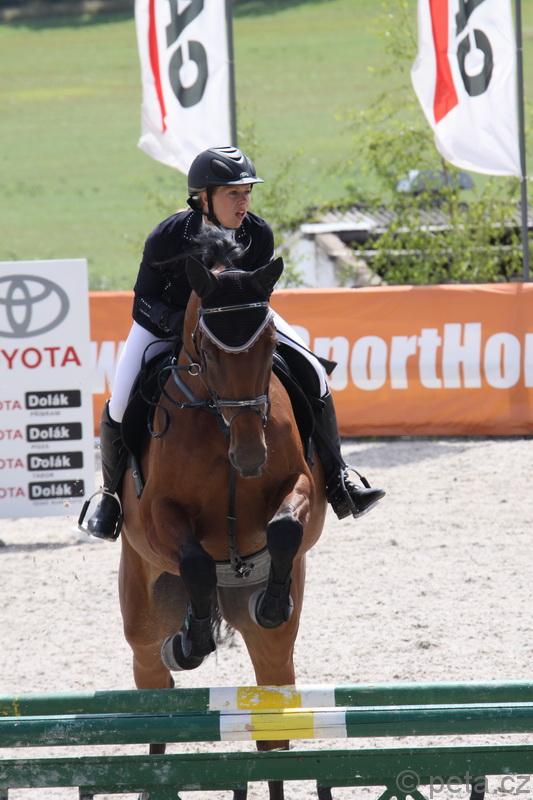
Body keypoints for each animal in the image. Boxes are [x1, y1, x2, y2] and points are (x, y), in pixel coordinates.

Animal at [119, 229, 328, 800]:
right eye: (208, 352)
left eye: (271, 343)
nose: (250, 457)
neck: (221, 424)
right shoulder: (158, 515)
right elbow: (193, 560)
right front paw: (191, 640)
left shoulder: (301, 488)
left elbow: (285, 527)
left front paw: (273, 602)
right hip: (142, 615)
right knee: (154, 689)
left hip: (273, 646)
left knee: (273, 719)